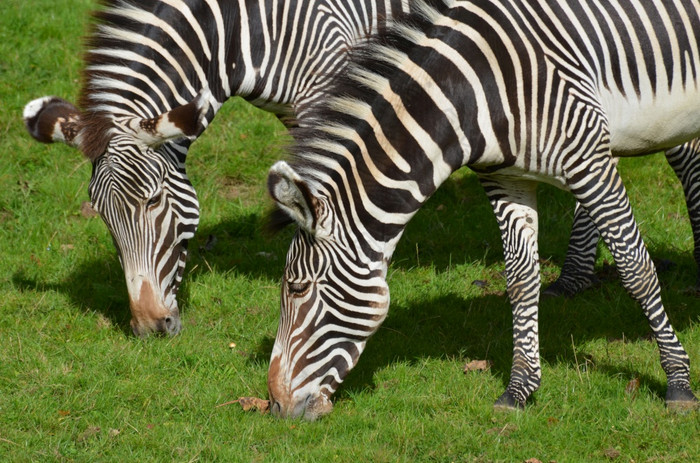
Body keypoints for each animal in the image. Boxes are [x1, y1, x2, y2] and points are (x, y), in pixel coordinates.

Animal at [266, 0, 696, 420]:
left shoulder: (589, 162)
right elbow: (521, 280)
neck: (472, 96)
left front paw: (678, 383)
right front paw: (519, 388)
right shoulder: (505, 177)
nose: (275, 405)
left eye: (297, 288)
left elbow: (635, 268)